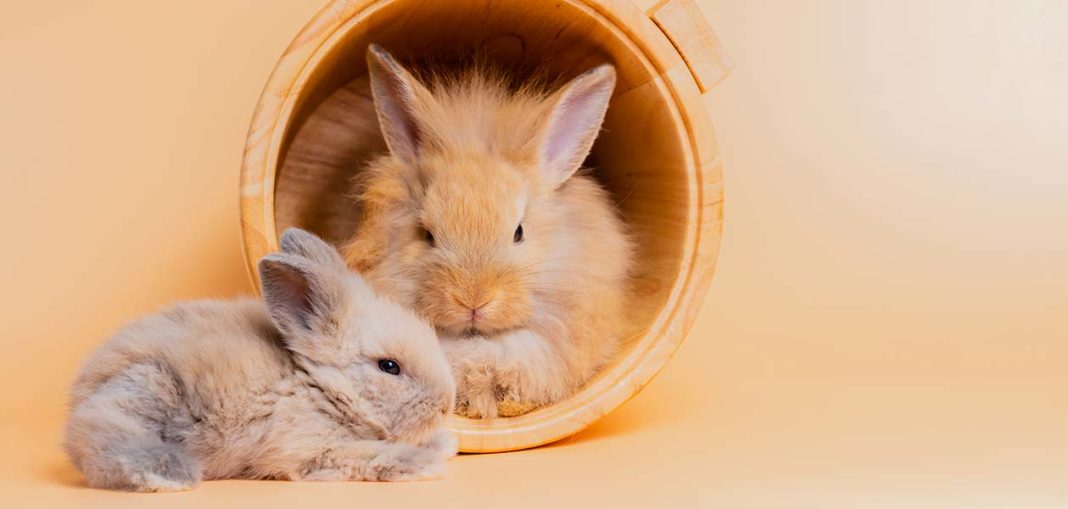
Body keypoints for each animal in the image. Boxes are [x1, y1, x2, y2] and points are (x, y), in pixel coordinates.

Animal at [63, 228, 457, 492]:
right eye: (389, 366)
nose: (447, 404)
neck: (321, 384)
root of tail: (79, 390)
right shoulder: (314, 449)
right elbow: (371, 456)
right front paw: (424, 464)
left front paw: (443, 443)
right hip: (147, 388)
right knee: (96, 432)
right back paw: (169, 473)